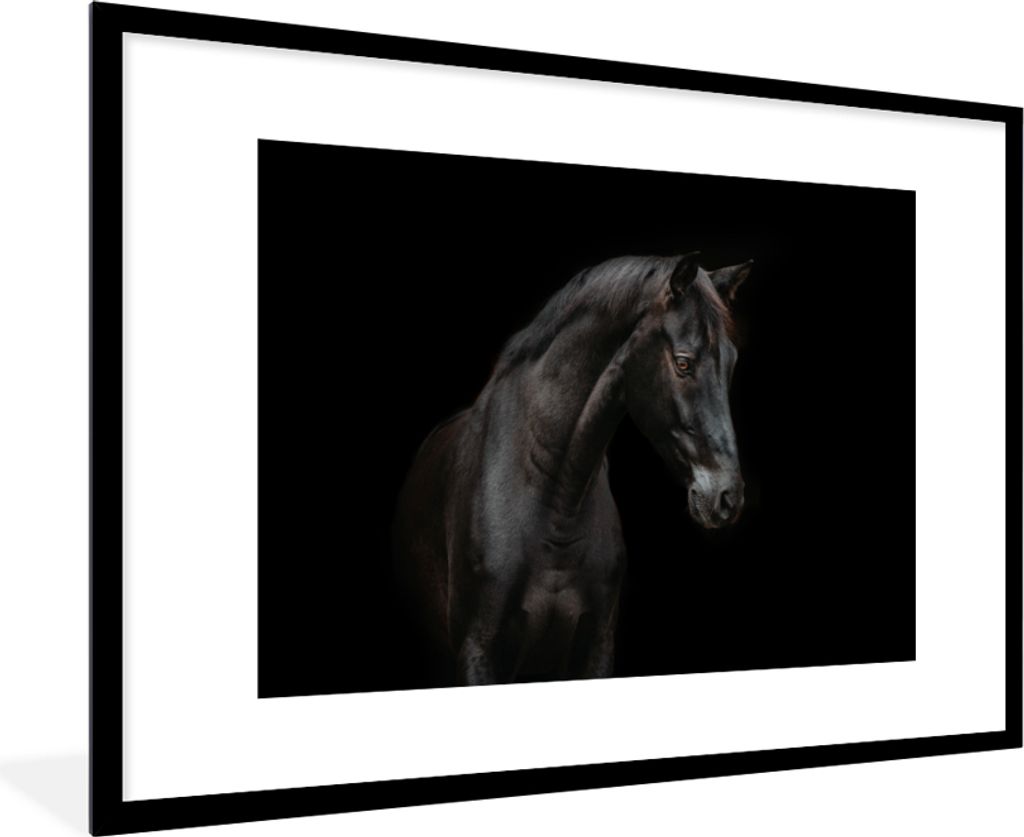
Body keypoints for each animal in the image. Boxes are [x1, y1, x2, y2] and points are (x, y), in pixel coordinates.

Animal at [392, 251, 752, 686]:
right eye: (683, 363)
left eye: (731, 362)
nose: (727, 497)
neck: (554, 505)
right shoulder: (477, 650)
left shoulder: (596, 647)